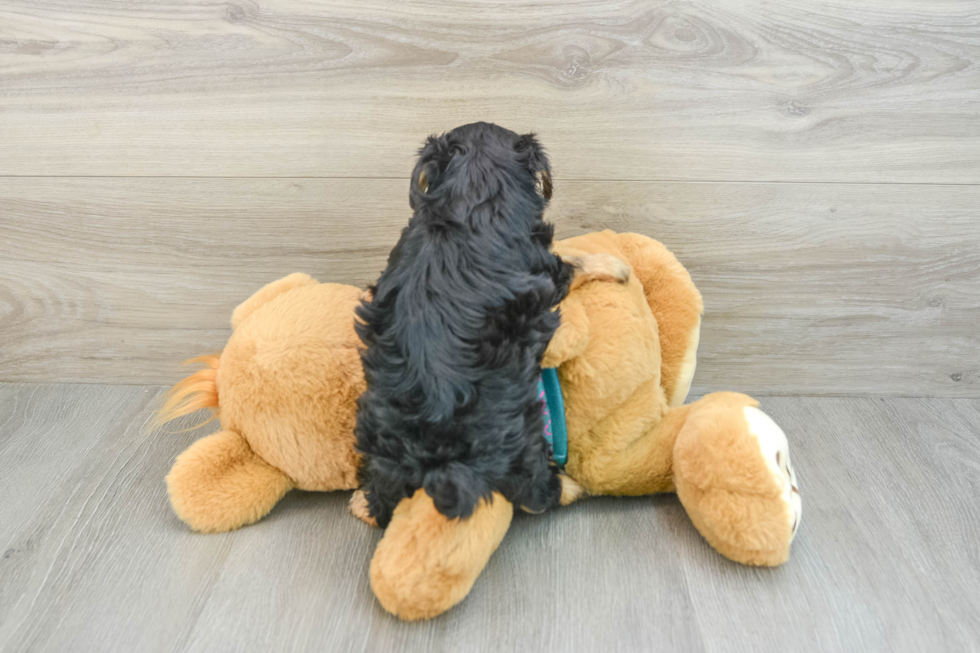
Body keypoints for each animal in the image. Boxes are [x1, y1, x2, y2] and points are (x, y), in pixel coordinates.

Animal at [356, 123, 624, 528]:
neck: (473, 192)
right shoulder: (547, 268)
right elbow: (574, 259)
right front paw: (616, 265)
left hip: (377, 440)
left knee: (382, 502)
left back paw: (361, 500)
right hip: (520, 432)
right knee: (533, 495)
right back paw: (571, 486)